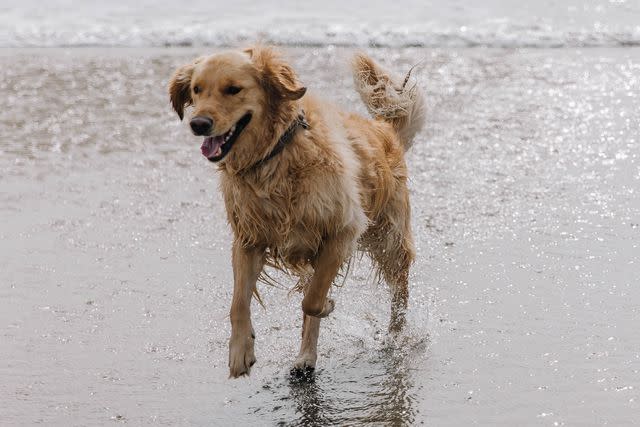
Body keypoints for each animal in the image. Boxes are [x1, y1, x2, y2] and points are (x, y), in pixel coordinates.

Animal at [169, 46, 424, 378]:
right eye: (197, 90)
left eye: (233, 89)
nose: (198, 123)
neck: (275, 154)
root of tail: (383, 128)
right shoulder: (249, 240)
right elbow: (239, 303)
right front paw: (240, 351)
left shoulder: (342, 230)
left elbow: (313, 302)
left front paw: (328, 304)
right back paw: (305, 357)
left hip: (389, 239)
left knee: (398, 293)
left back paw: (394, 338)